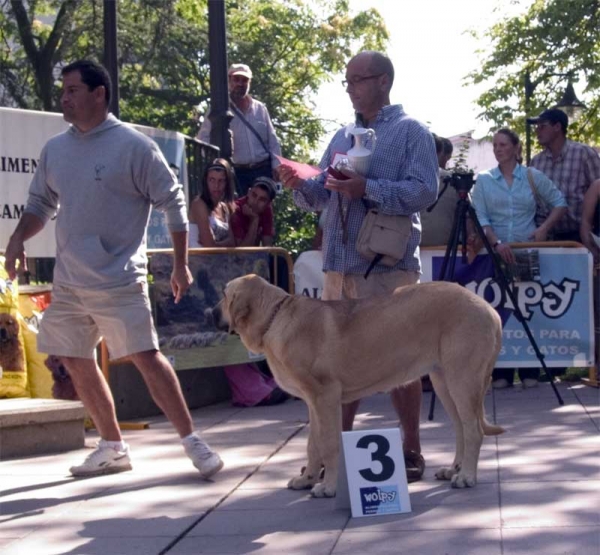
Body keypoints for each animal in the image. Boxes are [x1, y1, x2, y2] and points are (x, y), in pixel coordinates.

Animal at [211, 276, 506, 498]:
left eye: (225, 295)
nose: (208, 312)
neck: (275, 317)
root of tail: (489, 309)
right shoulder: (313, 403)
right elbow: (312, 444)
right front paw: (307, 479)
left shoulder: (326, 397)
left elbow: (329, 444)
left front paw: (328, 486)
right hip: (443, 381)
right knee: (461, 428)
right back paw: (454, 469)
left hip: (462, 380)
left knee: (474, 430)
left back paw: (466, 476)